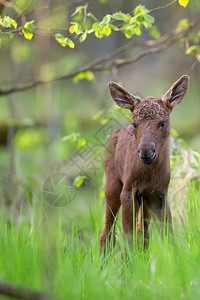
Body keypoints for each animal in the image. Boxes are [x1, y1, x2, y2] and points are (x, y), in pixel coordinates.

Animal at [99, 74, 189, 253]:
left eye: (163, 122)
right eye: (135, 124)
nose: (146, 152)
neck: (149, 174)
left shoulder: (160, 194)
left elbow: (167, 235)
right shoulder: (128, 192)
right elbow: (128, 238)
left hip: (144, 200)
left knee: (143, 233)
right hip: (113, 186)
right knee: (107, 233)